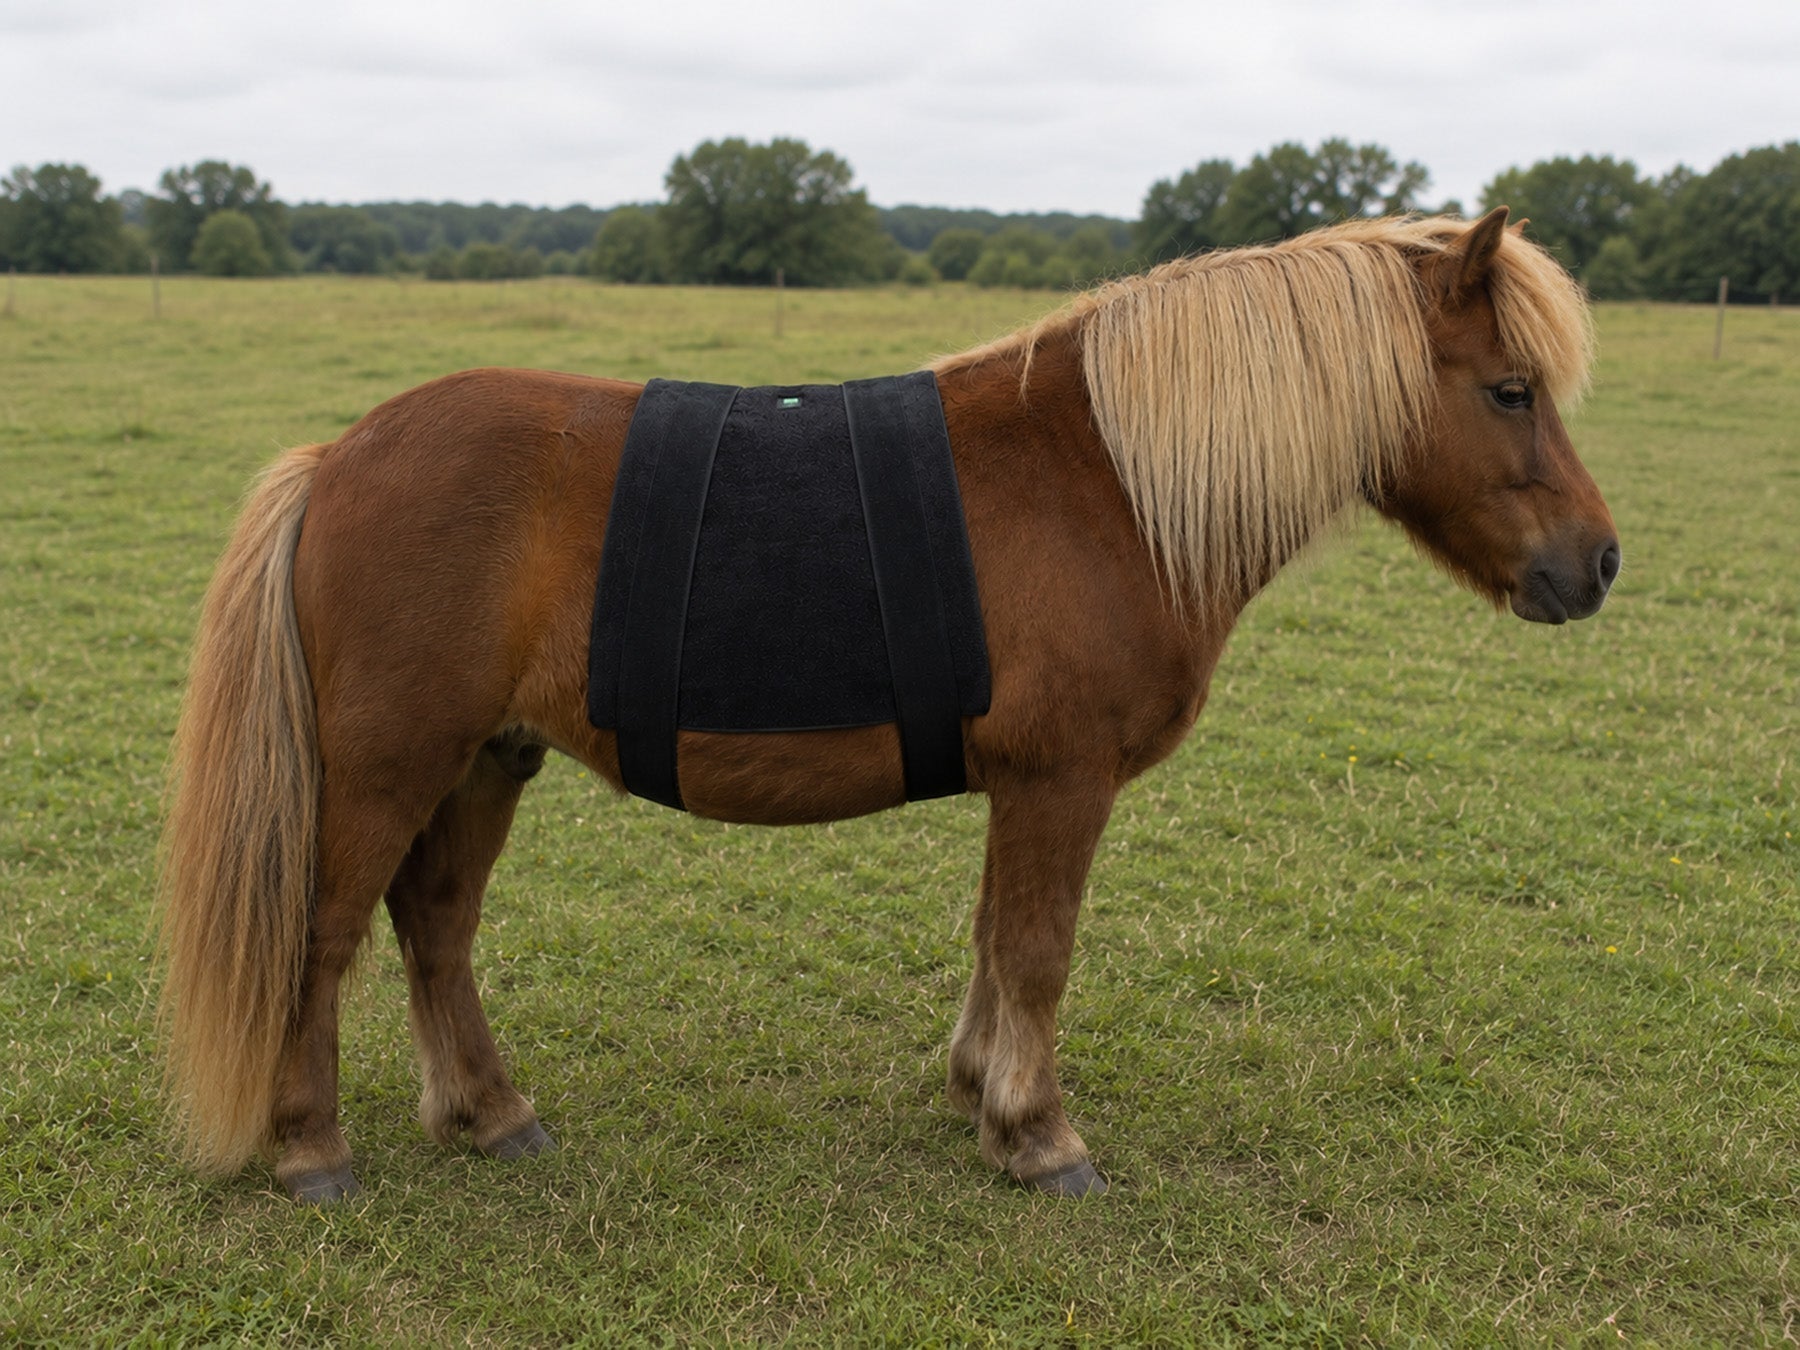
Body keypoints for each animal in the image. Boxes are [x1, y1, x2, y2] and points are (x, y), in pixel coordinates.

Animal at [156, 207, 1619, 1203]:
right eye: (1510, 390)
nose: (1597, 564)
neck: (1107, 478)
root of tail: (339, 455)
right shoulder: (1061, 781)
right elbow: (1037, 950)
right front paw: (1037, 1132)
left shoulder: (1023, 786)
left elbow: (994, 942)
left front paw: (980, 1090)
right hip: (389, 767)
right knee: (321, 938)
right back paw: (310, 1145)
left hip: (485, 760)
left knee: (437, 928)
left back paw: (487, 1110)